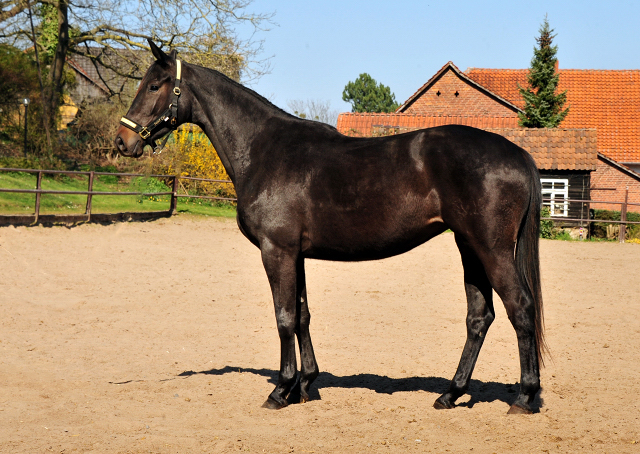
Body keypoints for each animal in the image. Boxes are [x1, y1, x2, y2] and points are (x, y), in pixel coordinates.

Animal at [114, 42, 544, 414]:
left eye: (154, 85)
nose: (122, 140)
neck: (264, 149)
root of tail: (518, 153)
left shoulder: (276, 250)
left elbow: (284, 316)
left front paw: (281, 389)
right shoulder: (296, 254)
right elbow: (302, 314)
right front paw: (305, 385)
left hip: (491, 248)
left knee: (521, 308)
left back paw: (524, 397)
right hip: (469, 246)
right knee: (479, 317)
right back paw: (451, 394)